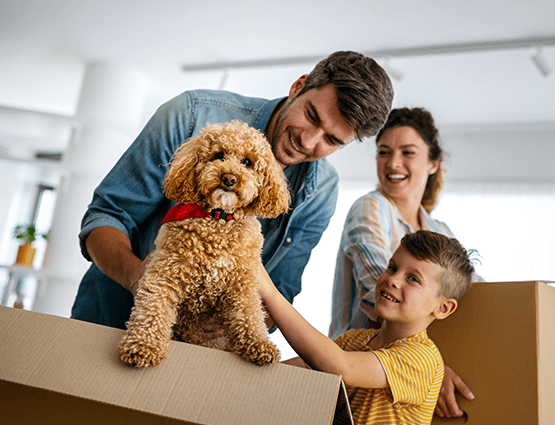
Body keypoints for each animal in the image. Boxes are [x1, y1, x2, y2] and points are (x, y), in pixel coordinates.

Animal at [117, 121, 292, 366]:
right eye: (218, 155)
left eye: (247, 162)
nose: (229, 178)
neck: (218, 219)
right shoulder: (164, 274)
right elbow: (152, 309)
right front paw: (143, 345)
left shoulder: (243, 285)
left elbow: (249, 314)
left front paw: (259, 344)